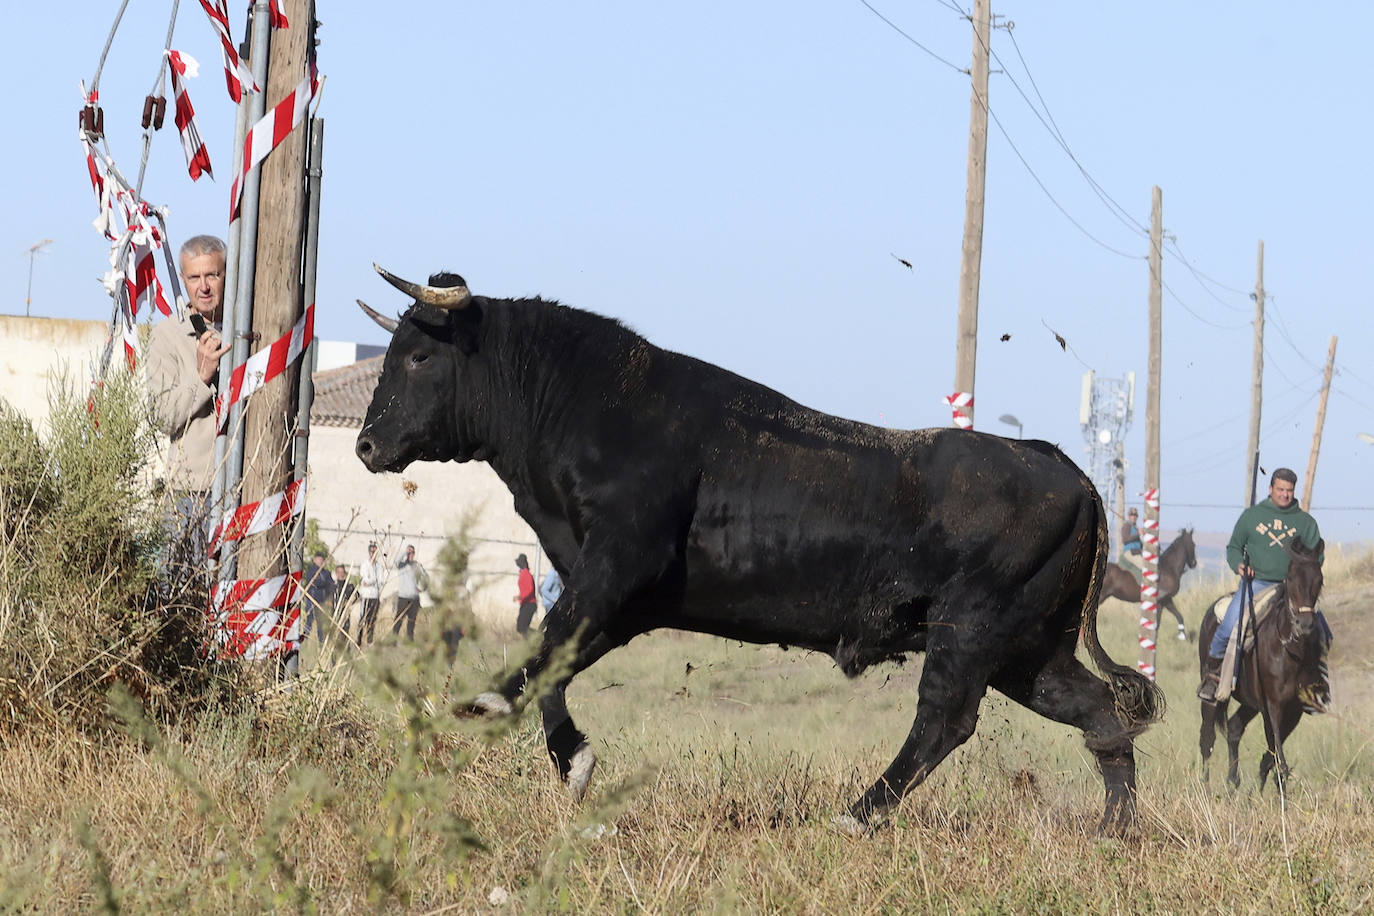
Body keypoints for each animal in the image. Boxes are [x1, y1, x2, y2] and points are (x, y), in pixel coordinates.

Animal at [351, 266, 1159, 829]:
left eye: (419, 356)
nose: (366, 444)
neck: (590, 405)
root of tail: (1063, 467)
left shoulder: (617, 565)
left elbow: (549, 642)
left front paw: (488, 702)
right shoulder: (619, 598)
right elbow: (559, 657)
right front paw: (573, 761)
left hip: (971, 630)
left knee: (944, 720)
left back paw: (856, 816)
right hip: (1027, 650)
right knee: (1098, 712)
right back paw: (1114, 832)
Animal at [1198, 538, 1324, 796]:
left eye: (1319, 579)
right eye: (1290, 577)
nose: (1305, 625)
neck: (1289, 651)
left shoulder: (1293, 710)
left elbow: (1272, 754)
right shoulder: (1272, 707)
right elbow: (1276, 753)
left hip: (1249, 702)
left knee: (1234, 728)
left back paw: (1233, 783)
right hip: (1213, 696)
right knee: (1207, 739)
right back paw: (1205, 788)